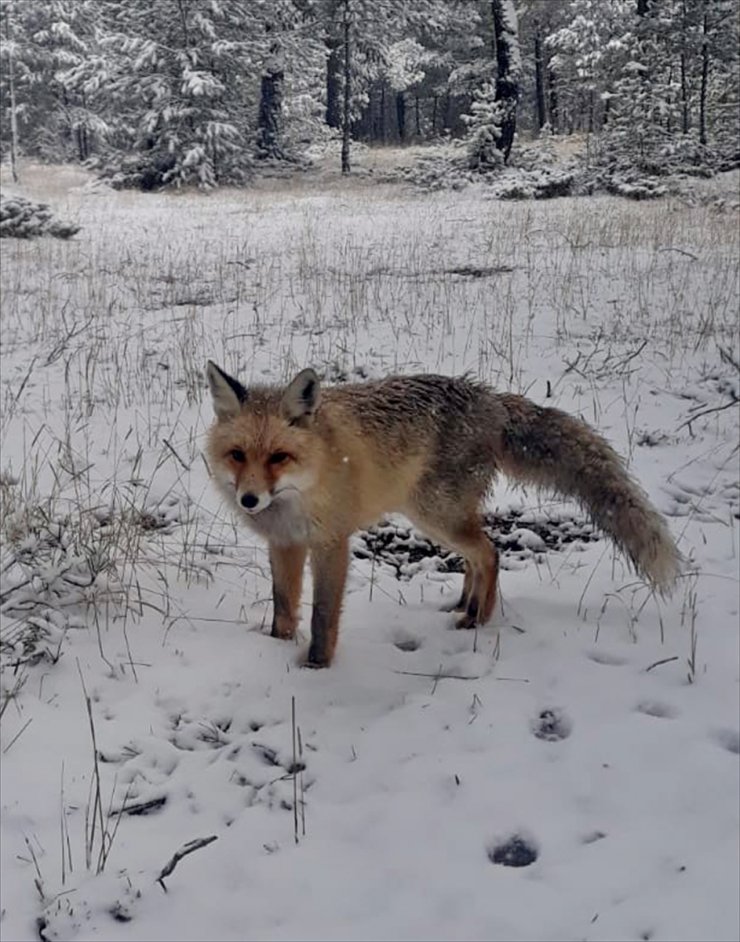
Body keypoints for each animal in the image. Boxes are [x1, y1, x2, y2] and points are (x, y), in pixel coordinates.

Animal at [205, 364, 680, 672]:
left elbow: (322, 615)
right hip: (438, 517)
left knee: (490, 552)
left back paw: (478, 619)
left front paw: (317, 667)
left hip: (436, 514)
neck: (302, 490)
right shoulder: (285, 543)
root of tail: (492, 399)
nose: (249, 499)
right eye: (237, 455)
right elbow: (284, 608)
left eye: (279, 457)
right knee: (477, 556)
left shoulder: (331, 542)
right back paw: (464, 604)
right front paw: (276, 650)